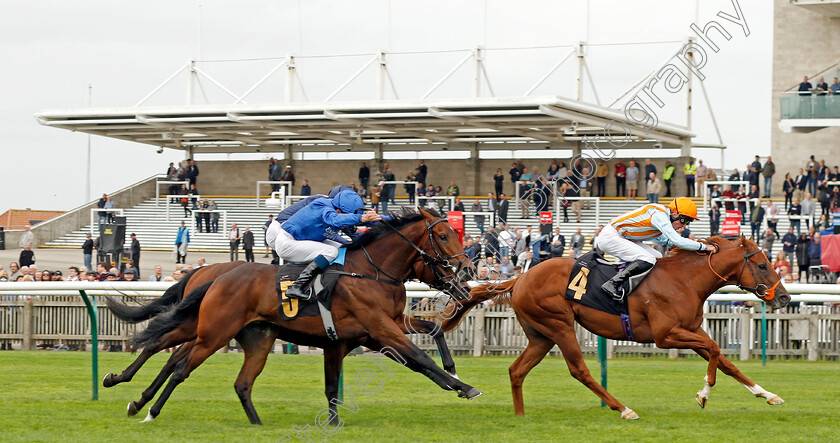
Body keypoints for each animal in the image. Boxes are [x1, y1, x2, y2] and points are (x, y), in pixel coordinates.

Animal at [125, 210, 480, 424]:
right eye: (445, 235)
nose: (467, 271)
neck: (372, 271)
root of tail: (214, 276)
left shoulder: (373, 332)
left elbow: (431, 333)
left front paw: (453, 374)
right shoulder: (379, 327)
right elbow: (420, 357)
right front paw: (465, 386)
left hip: (244, 336)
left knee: (231, 378)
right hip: (213, 333)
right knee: (176, 362)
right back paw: (146, 409)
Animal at [442, 236, 792, 420]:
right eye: (762, 264)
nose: (785, 297)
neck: (685, 280)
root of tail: (520, 277)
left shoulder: (693, 330)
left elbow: (726, 360)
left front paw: (768, 395)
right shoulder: (666, 335)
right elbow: (716, 350)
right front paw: (703, 394)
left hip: (540, 335)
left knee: (517, 370)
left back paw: (521, 415)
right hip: (559, 325)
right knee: (579, 370)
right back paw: (622, 408)